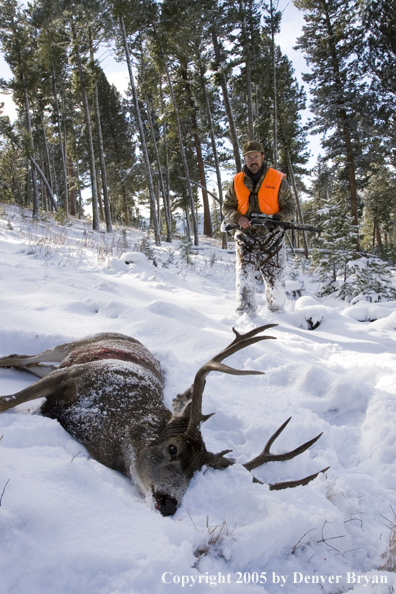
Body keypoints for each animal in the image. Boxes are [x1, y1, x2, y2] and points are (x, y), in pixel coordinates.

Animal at [0, 324, 328, 512]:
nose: (170, 503)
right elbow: (7, 401)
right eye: (173, 448)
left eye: (197, 472)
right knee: (21, 356)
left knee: (27, 363)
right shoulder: (74, 374)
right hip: (71, 347)